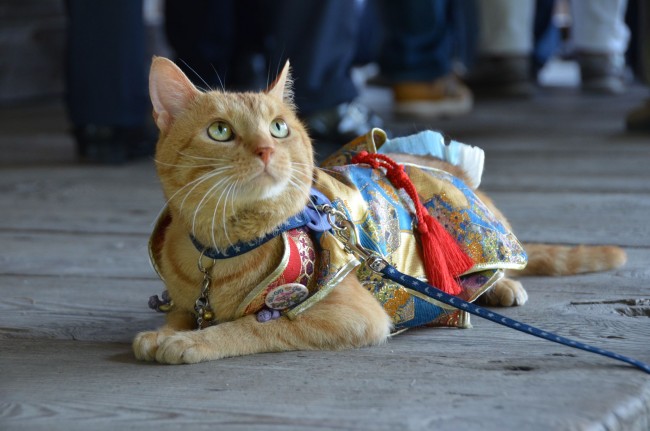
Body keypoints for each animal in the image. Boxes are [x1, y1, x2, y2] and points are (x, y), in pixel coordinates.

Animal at [132, 56, 624, 364]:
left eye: (278, 128)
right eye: (219, 131)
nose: (266, 150)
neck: (220, 251)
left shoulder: (354, 315)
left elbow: (252, 327)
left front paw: (191, 342)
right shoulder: (188, 298)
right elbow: (181, 313)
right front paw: (168, 332)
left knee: (499, 270)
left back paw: (501, 288)